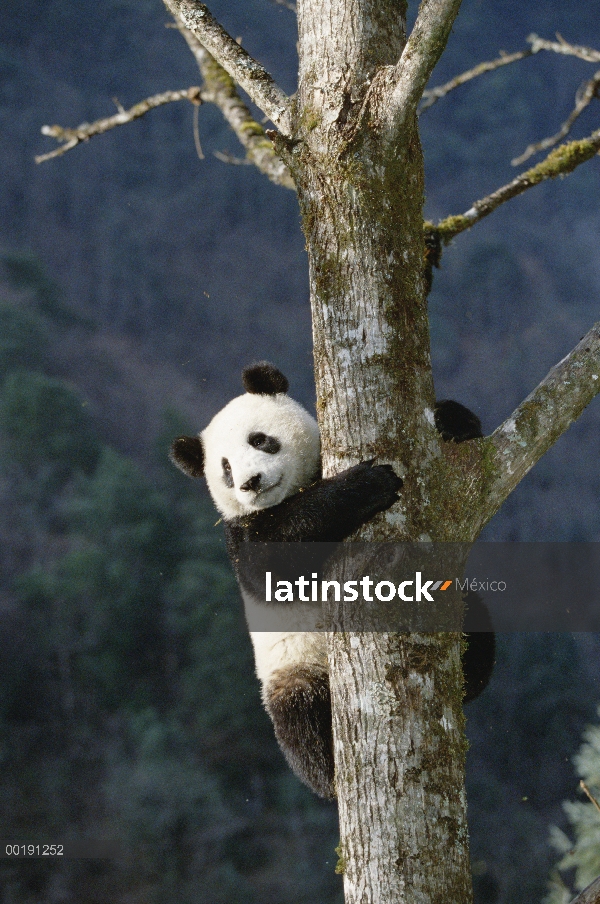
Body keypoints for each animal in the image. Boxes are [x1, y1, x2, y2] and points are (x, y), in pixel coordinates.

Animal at [170, 360, 496, 800]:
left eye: (260, 440)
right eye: (224, 468)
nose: (250, 483)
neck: (291, 492)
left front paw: (451, 420)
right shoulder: (241, 535)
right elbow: (273, 560)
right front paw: (368, 483)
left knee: (476, 623)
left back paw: (468, 673)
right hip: (293, 668)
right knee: (299, 719)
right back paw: (329, 776)